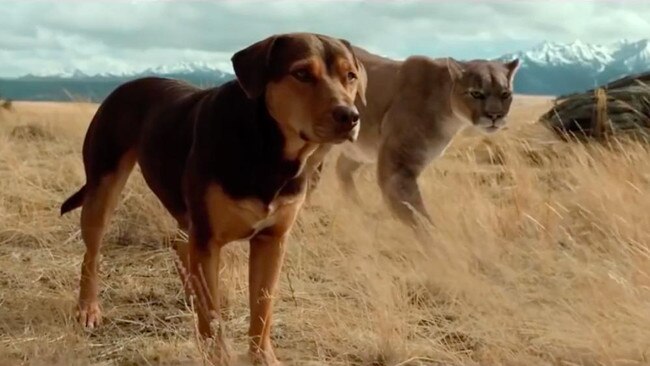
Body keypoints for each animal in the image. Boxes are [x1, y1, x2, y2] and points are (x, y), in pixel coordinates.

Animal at [60, 33, 364, 364]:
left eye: (350, 76)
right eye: (302, 73)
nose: (350, 116)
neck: (269, 151)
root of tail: (126, 85)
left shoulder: (272, 240)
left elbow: (263, 308)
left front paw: (262, 356)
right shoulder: (208, 240)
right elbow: (213, 314)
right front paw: (218, 354)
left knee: (179, 243)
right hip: (103, 187)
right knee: (92, 254)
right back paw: (88, 308)